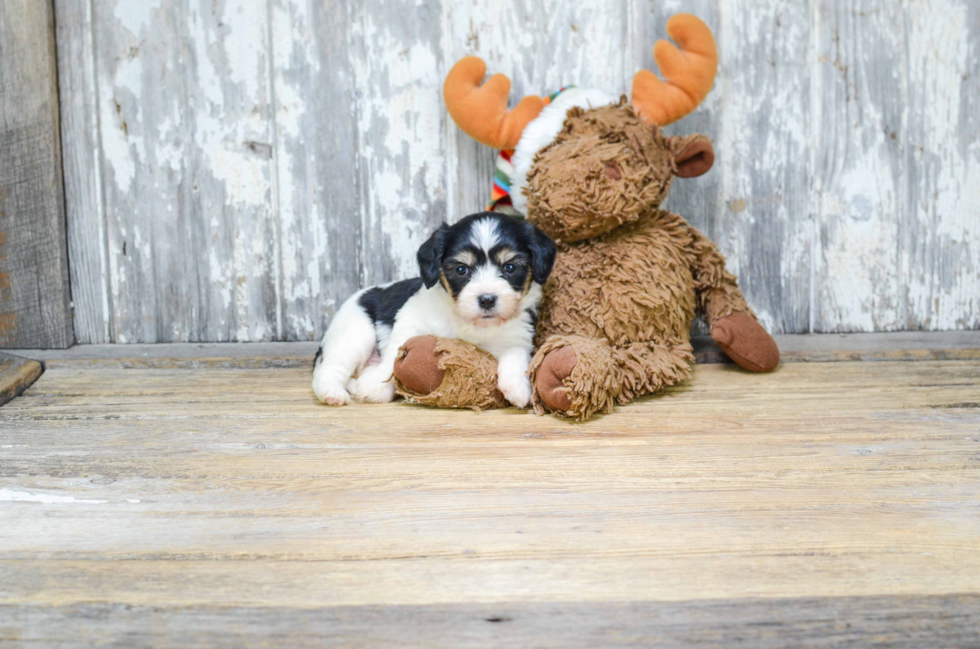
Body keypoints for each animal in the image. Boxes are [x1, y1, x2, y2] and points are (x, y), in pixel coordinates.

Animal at [314, 211, 560, 404]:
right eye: (461, 270)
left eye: (510, 267)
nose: (487, 299)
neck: (469, 322)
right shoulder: (411, 319)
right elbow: (394, 355)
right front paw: (377, 385)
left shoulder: (518, 336)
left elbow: (517, 355)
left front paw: (518, 386)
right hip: (354, 333)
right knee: (331, 368)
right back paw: (333, 393)